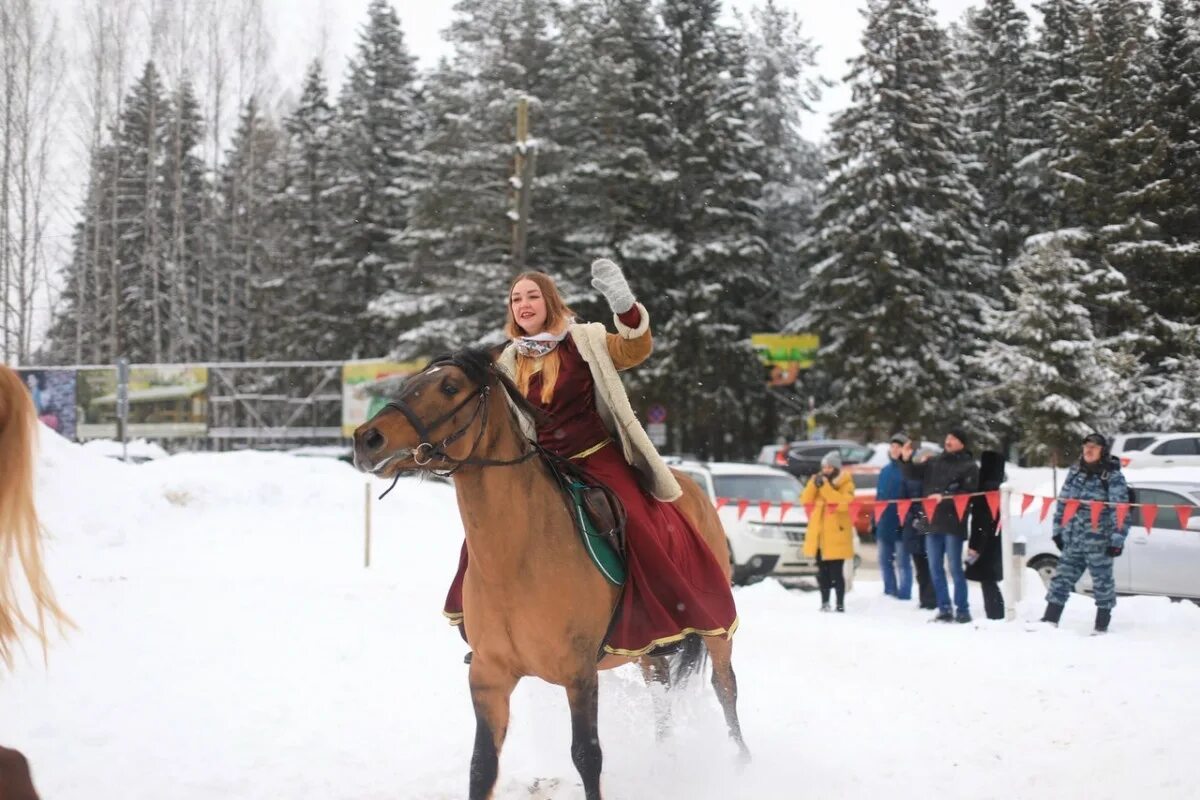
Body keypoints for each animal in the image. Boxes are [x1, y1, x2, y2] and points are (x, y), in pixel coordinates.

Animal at [350, 350, 748, 800]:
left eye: (449, 387)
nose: (366, 439)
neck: (516, 559)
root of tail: (691, 488)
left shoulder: (579, 674)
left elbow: (587, 756)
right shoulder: (488, 675)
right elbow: (482, 766)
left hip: (716, 629)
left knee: (725, 687)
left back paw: (741, 765)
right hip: (649, 644)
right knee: (660, 688)